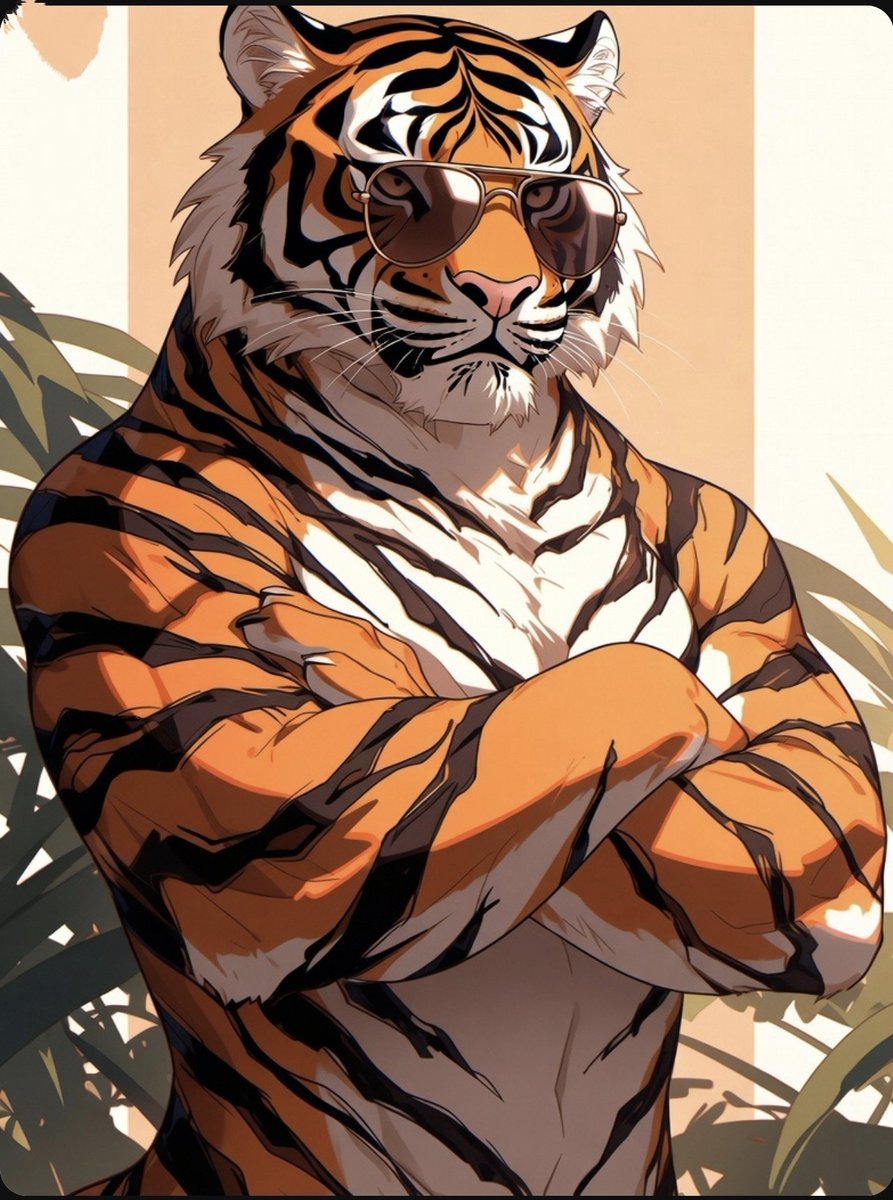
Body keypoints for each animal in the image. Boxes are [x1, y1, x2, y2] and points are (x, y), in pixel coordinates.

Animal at [9, 6, 884, 1196]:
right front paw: (347, 651)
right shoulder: (122, 577)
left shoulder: (764, 631)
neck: (480, 455)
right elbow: (576, 704)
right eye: (402, 192)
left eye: (550, 198)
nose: (503, 294)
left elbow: (767, 780)